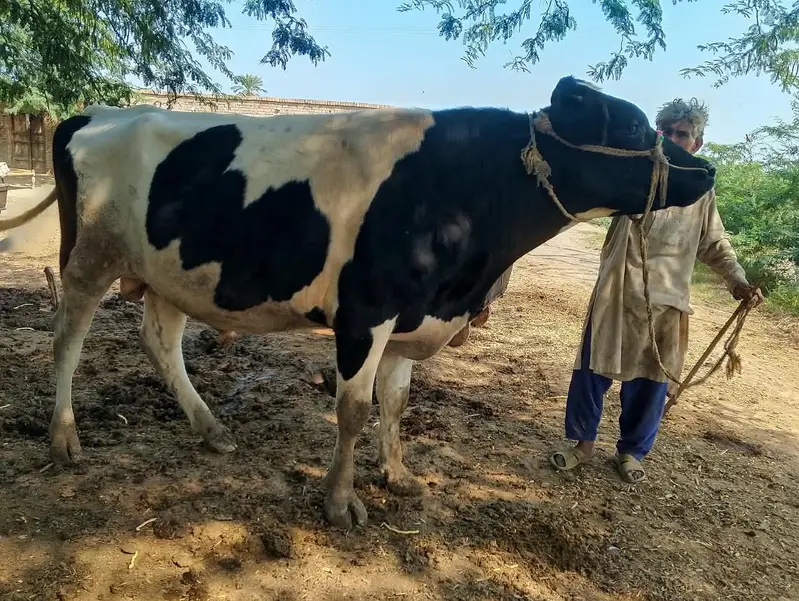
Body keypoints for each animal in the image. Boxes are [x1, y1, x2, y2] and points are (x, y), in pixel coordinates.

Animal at [0, 76, 716, 529]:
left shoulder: (412, 320)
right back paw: (64, 438)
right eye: (633, 124)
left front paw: (396, 475)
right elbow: (352, 410)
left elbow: (395, 405)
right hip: (89, 255)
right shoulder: (366, 313)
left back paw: (210, 429)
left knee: (161, 341)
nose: (706, 171)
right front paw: (340, 502)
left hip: (174, 268)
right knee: (67, 337)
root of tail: (98, 113)